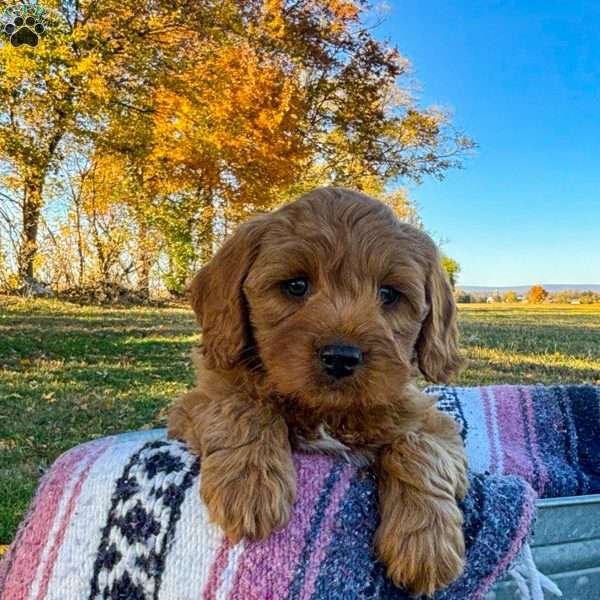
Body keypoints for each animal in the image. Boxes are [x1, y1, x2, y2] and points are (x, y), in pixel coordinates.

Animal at [169, 186, 468, 596]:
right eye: (296, 286)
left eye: (389, 294)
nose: (341, 357)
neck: (326, 411)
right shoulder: (200, 398)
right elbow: (241, 406)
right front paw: (250, 484)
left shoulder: (432, 420)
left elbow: (420, 448)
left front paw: (426, 542)